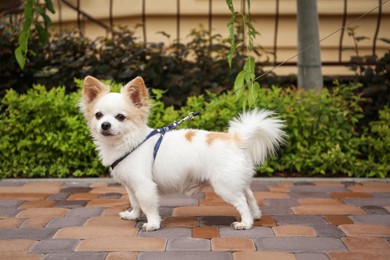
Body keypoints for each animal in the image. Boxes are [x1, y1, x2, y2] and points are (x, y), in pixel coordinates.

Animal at [80, 75, 286, 232]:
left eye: (120, 117)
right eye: (98, 115)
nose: (105, 125)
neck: (130, 142)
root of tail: (236, 139)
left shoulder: (144, 186)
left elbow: (147, 205)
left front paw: (152, 224)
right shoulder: (131, 186)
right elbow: (135, 203)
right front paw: (133, 216)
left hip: (224, 185)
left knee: (242, 201)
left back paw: (246, 222)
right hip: (235, 180)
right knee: (249, 195)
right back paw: (256, 214)